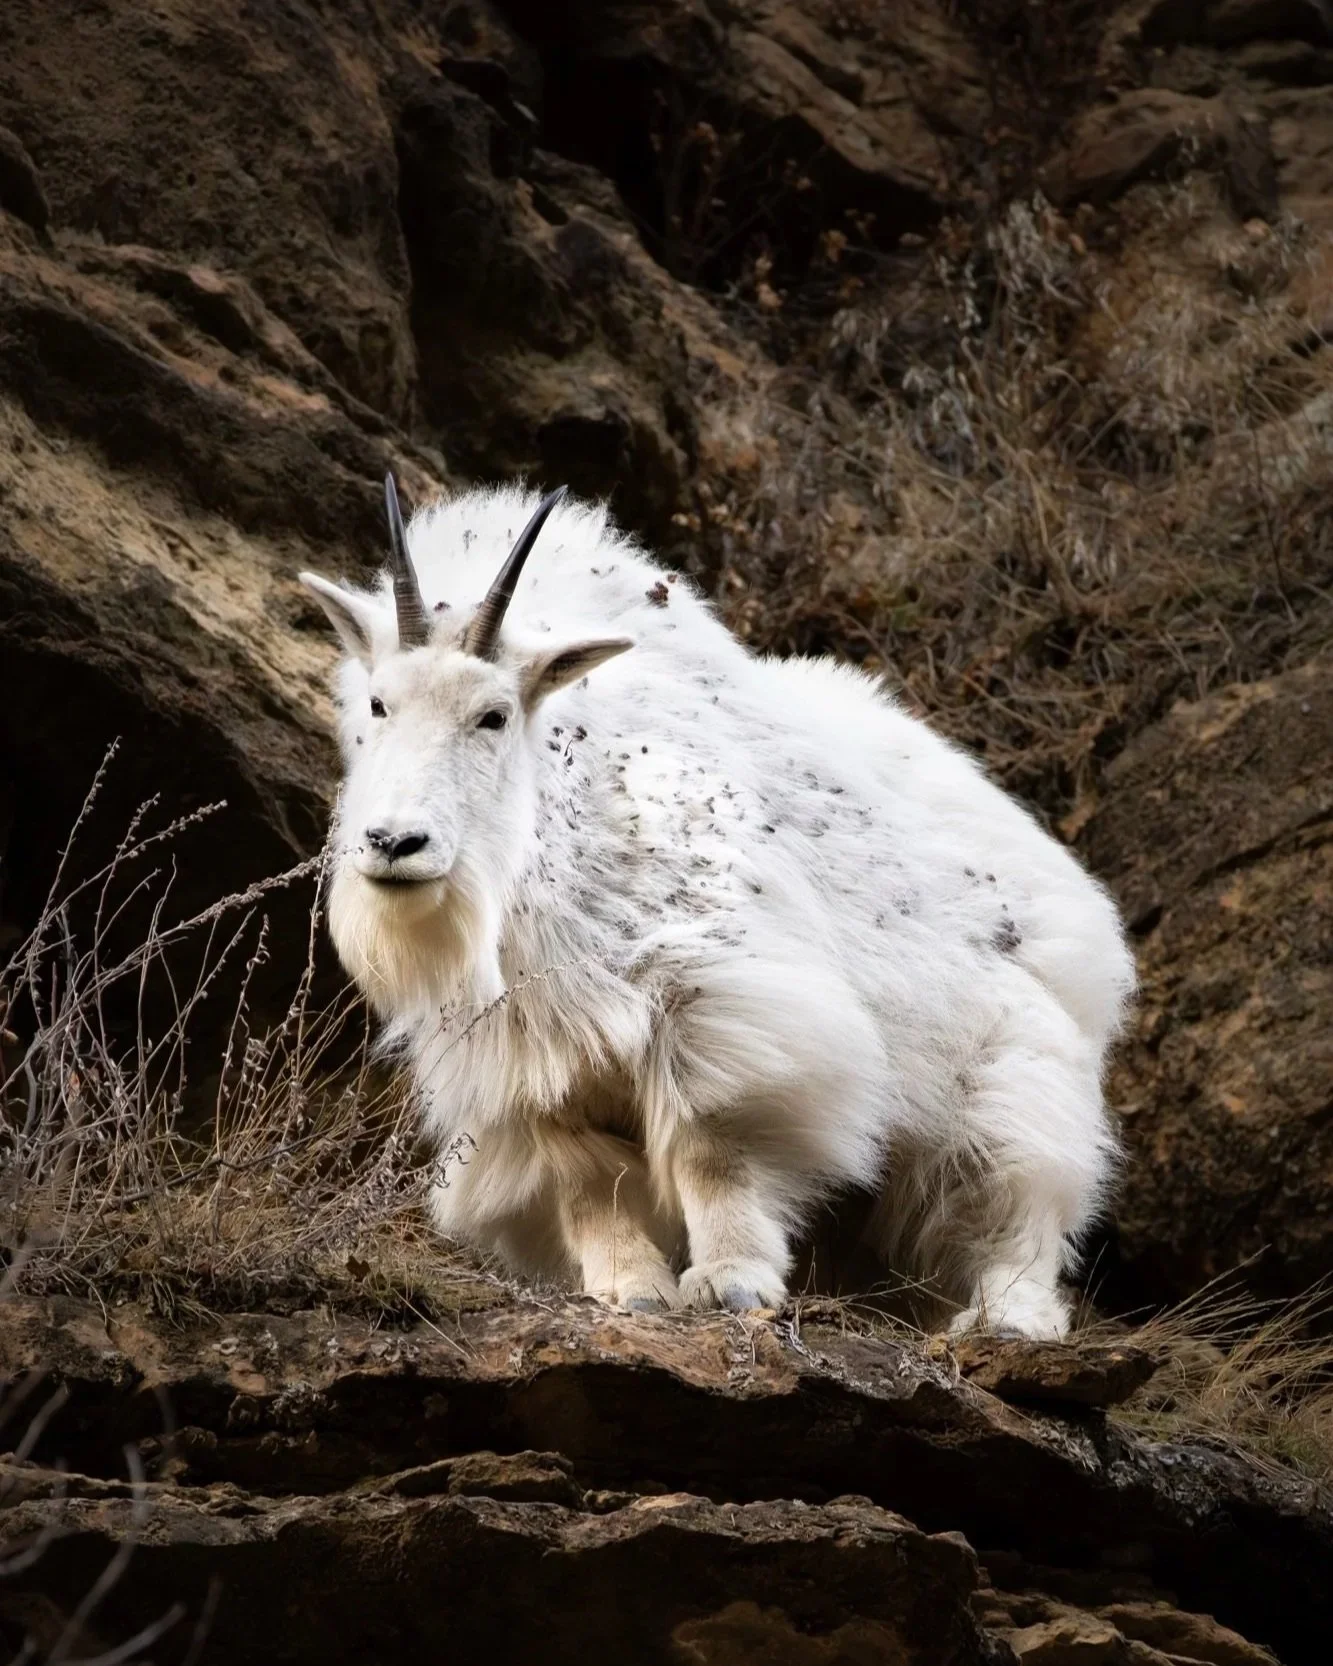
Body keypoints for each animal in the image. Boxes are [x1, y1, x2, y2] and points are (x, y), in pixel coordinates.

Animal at [300, 476, 1135, 1336]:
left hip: (1014, 1070)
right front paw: (629, 1288)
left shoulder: (714, 1001)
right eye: (378, 705)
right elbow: (584, 1182)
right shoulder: (526, 1066)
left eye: (493, 715)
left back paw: (1009, 1317)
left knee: (1014, 1199)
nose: (394, 843)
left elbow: (713, 1147)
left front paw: (734, 1281)